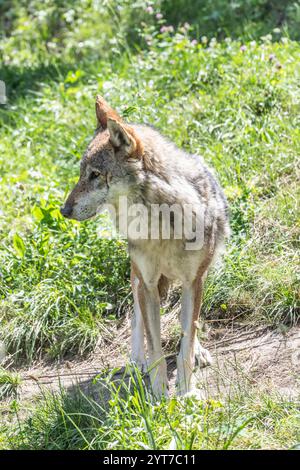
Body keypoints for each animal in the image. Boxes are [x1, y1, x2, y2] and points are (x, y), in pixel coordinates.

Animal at [61, 97, 230, 398]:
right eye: (82, 174)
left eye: (95, 175)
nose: (64, 210)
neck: (160, 223)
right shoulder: (149, 284)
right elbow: (156, 346)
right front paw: (160, 395)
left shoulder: (193, 281)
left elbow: (187, 340)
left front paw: (186, 393)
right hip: (138, 278)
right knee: (137, 317)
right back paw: (136, 361)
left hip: (200, 274)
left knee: (190, 323)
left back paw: (198, 351)